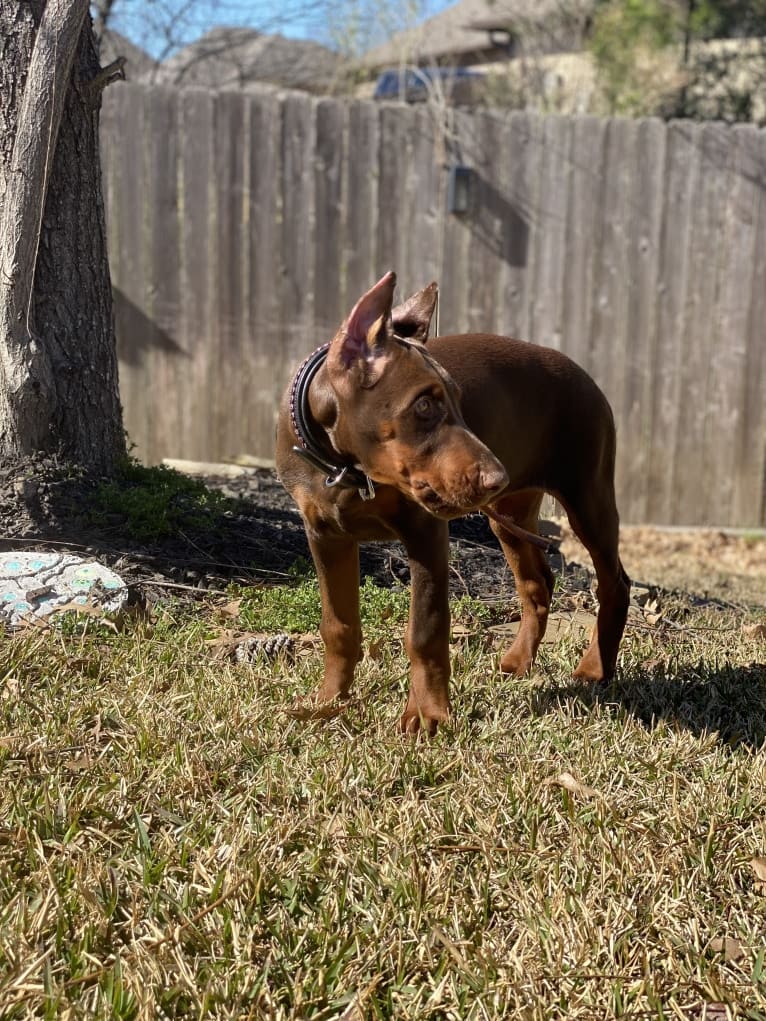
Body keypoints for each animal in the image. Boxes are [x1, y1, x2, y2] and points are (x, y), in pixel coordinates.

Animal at [275, 271, 629, 735]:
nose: (498, 476)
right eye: (424, 405)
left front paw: (427, 715)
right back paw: (519, 661)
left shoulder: (425, 532)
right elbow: (339, 623)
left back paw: (595, 668)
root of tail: (584, 375)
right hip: (510, 513)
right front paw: (328, 701)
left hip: (588, 495)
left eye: (461, 401)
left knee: (614, 582)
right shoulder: (324, 534)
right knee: (538, 583)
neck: (346, 467)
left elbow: (426, 629)